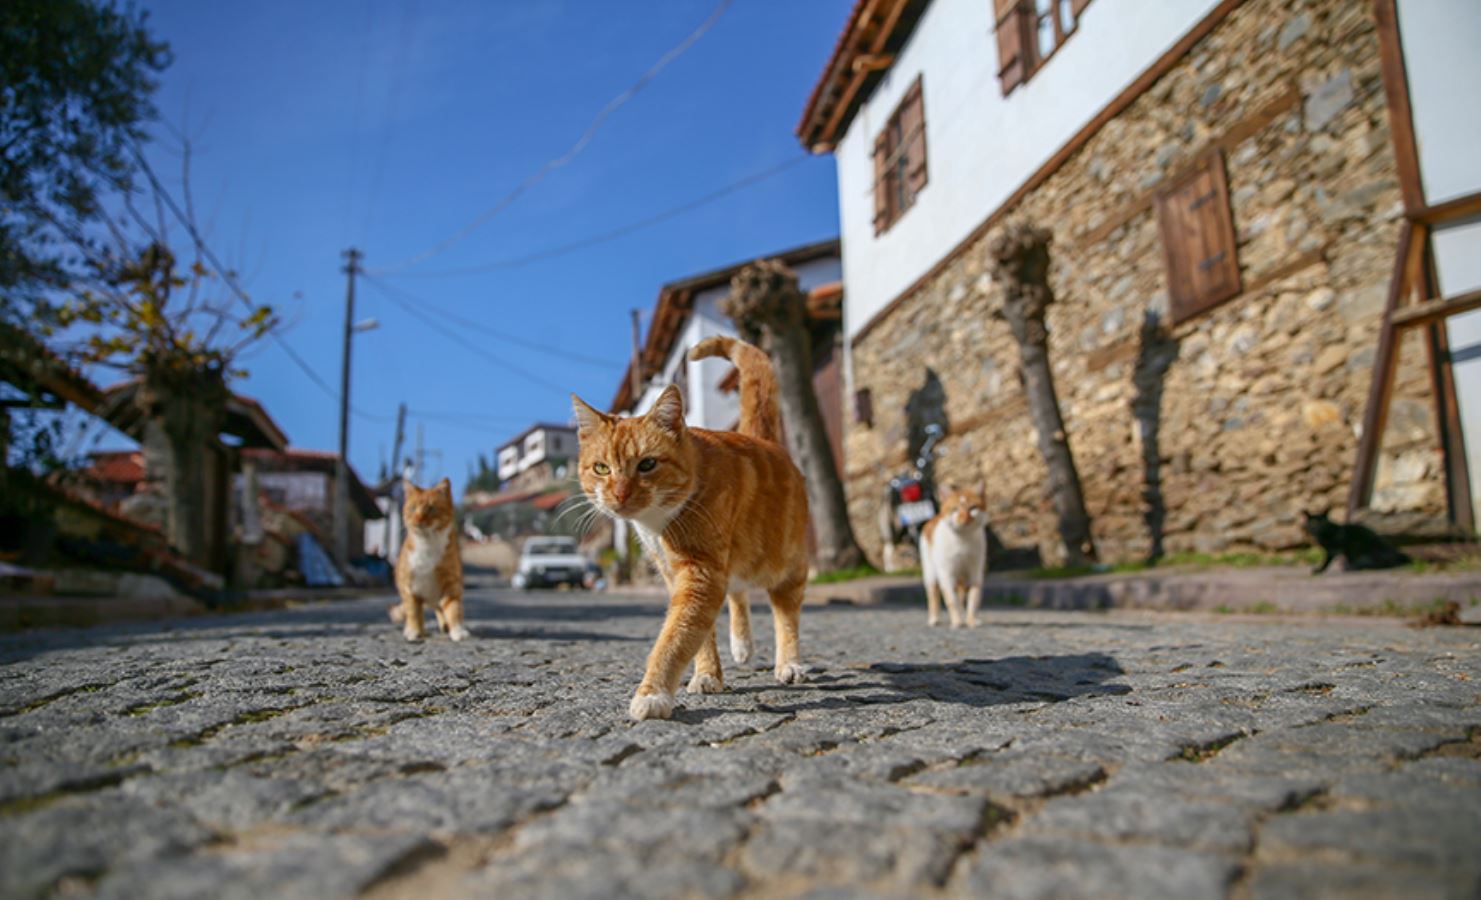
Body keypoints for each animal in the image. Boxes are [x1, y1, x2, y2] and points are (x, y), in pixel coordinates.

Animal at [388, 479, 467, 639]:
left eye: (431, 509)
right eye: (412, 509)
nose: (418, 519)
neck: (427, 545)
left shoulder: (451, 584)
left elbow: (453, 608)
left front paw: (457, 630)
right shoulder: (409, 586)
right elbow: (413, 611)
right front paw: (414, 631)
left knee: (440, 608)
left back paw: (445, 625)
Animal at [571, 337, 817, 725]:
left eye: (647, 464)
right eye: (601, 468)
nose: (620, 495)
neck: (658, 522)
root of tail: (763, 440)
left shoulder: (700, 572)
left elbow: (677, 635)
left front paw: (653, 693)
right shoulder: (677, 574)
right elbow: (700, 635)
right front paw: (707, 674)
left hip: (782, 564)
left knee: (785, 613)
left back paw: (789, 664)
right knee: (738, 592)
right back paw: (741, 645)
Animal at [918, 485, 989, 624]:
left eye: (972, 508)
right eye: (955, 509)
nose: (965, 518)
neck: (963, 540)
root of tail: (936, 516)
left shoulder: (975, 571)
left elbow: (974, 597)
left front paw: (971, 620)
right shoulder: (946, 573)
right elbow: (951, 599)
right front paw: (957, 622)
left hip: (961, 576)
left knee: (961, 594)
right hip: (930, 571)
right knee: (933, 593)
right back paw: (934, 619)